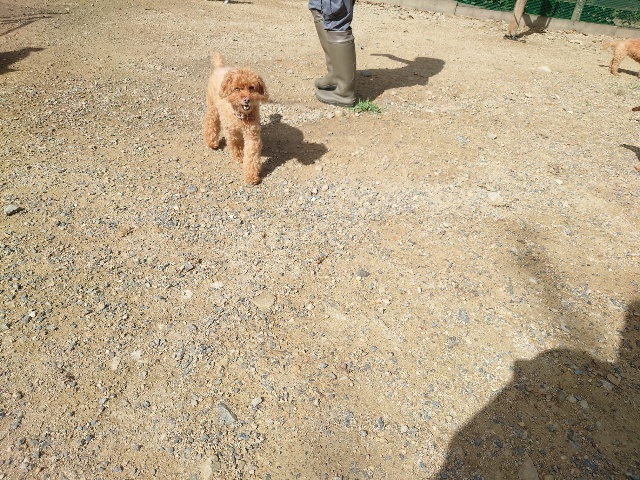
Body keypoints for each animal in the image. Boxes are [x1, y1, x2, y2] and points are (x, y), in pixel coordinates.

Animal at [203, 53, 268, 185]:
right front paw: (239, 156)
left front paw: (251, 176)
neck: (241, 116)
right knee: (210, 121)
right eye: (237, 88)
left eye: (252, 87)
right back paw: (212, 142)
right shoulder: (231, 131)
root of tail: (220, 67)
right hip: (213, 106)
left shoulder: (252, 135)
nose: (247, 99)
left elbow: (252, 155)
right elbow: (235, 144)